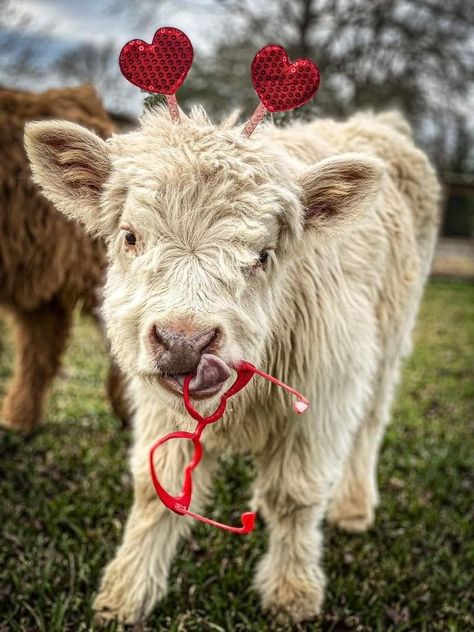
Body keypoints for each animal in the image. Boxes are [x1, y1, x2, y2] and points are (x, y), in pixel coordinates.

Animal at [25, 106, 440, 624]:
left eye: (264, 254)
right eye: (130, 236)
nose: (184, 342)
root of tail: (377, 122)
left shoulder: (321, 396)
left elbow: (295, 497)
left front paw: (292, 592)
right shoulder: (160, 409)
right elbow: (155, 490)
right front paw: (125, 593)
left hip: (390, 340)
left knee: (369, 424)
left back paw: (353, 507)